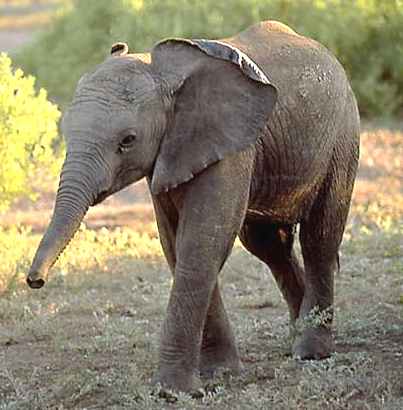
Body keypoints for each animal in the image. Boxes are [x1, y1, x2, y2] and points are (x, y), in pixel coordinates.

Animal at [29, 20, 362, 392]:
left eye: (127, 141)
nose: (35, 282)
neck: (162, 73)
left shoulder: (230, 145)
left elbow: (201, 242)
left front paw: (173, 392)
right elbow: (177, 245)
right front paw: (220, 373)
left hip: (342, 137)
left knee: (320, 238)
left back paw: (311, 352)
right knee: (269, 247)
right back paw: (296, 336)